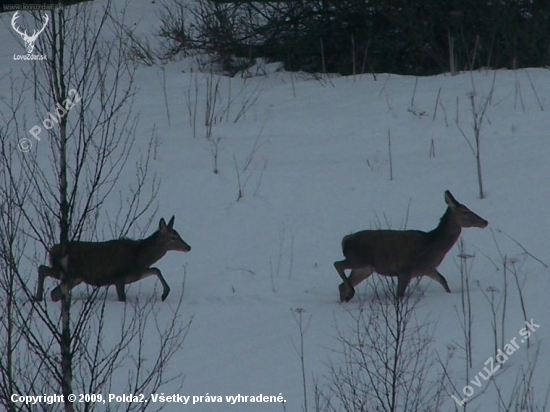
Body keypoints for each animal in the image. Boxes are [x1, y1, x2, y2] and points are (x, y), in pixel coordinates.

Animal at [334, 191, 490, 302]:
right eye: (465, 212)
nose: (485, 222)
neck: (432, 245)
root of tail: (344, 241)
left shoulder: (427, 269)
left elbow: (443, 281)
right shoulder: (405, 270)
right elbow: (399, 295)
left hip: (364, 269)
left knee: (341, 285)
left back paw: (345, 298)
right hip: (357, 259)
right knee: (337, 264)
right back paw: (350, 293)